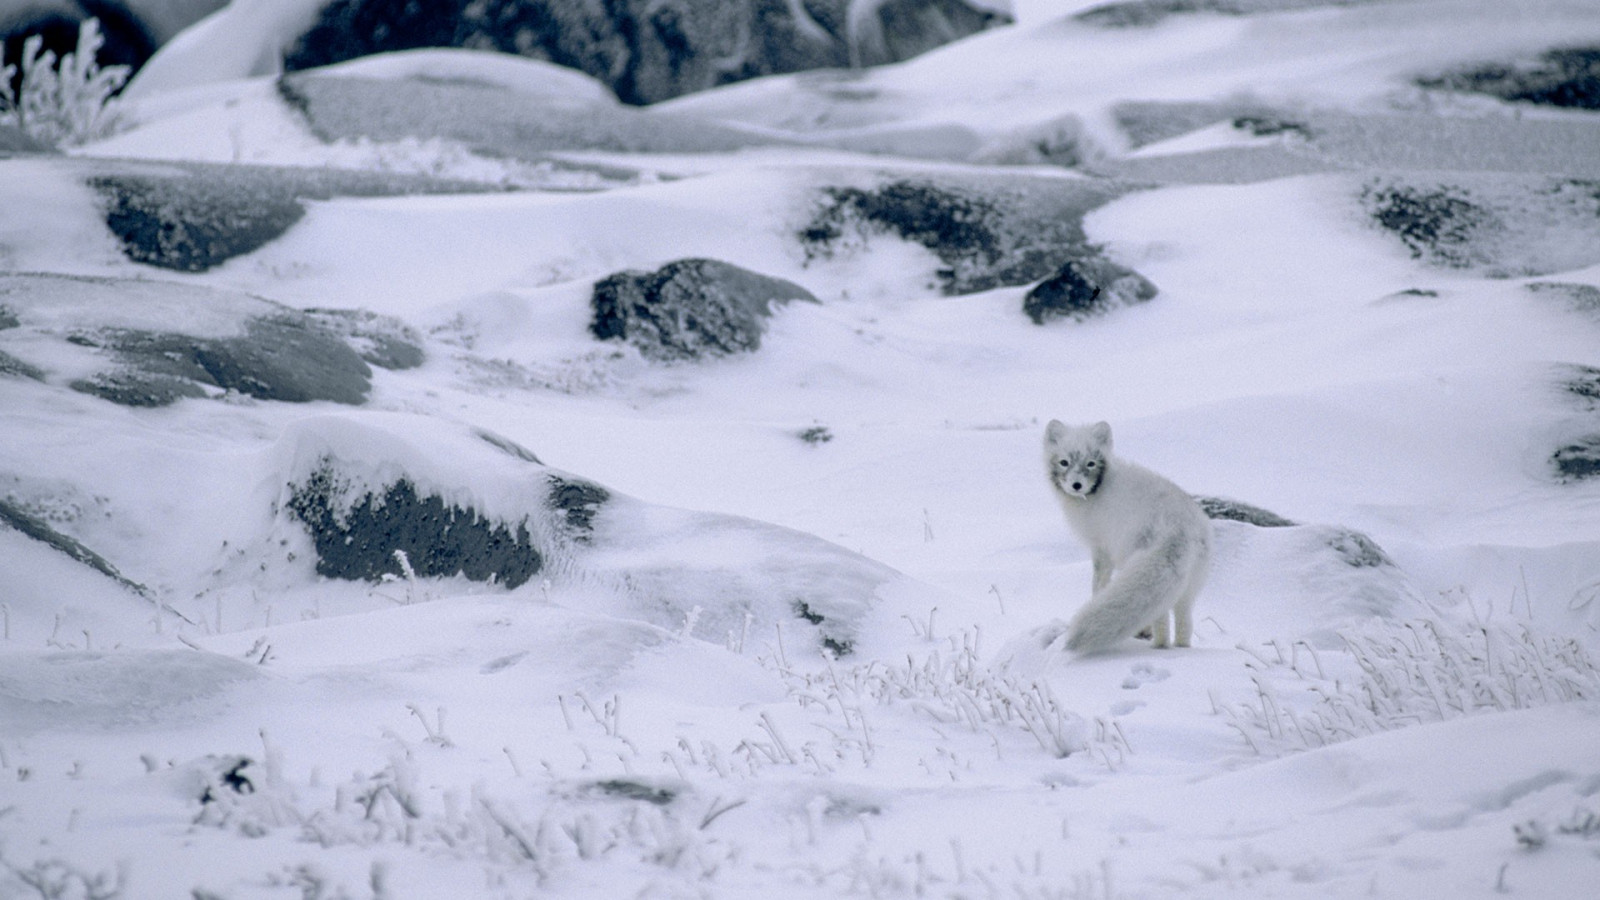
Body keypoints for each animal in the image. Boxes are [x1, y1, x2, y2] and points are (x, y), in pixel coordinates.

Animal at [1043, 420, 1211, 654]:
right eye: (1064, 462)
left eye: (1091, 463)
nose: (1076, 485)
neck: (1099, 489)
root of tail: (1182, 529)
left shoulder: (1101, 550)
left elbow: (1098, 585)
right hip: (1188, 587)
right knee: (1184, 622)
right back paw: (1181, 649)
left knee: (1161, 620)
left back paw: (1158, 646)